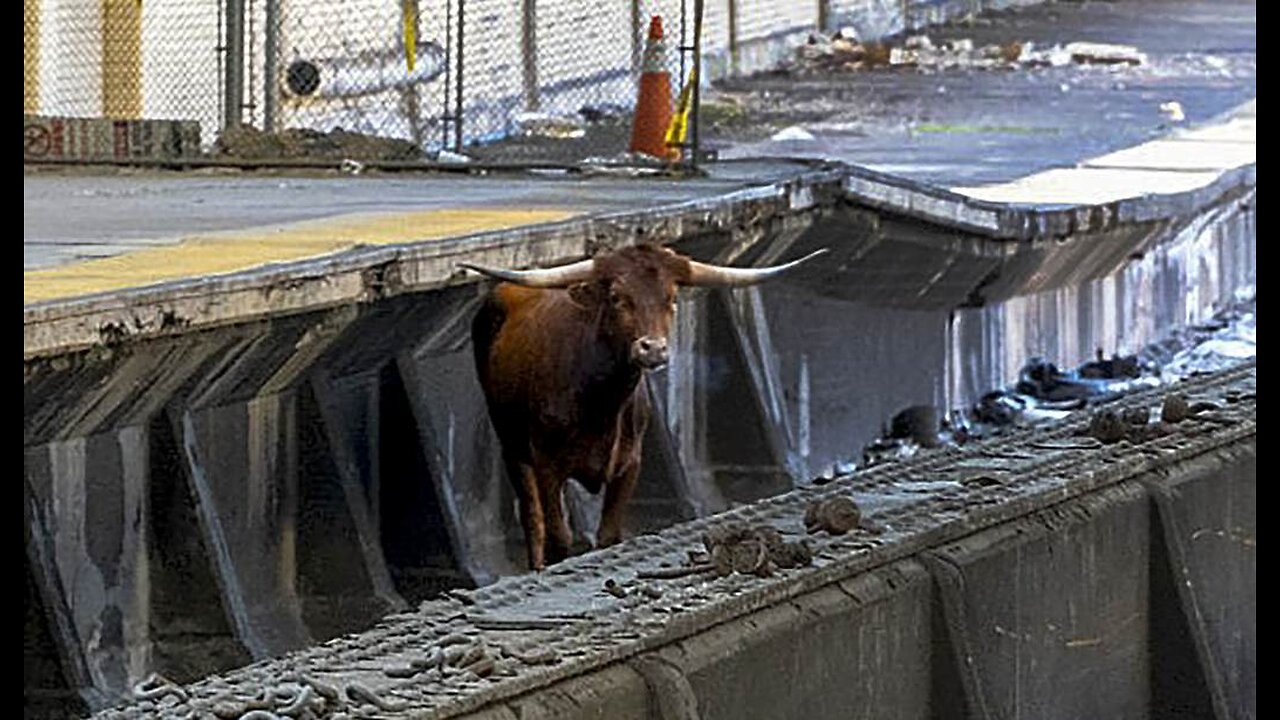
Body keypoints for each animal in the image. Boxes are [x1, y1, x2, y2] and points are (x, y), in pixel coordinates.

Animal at [465, 243, 824, 568]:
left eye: (672, 298)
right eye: (617, 297)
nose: (653, 349)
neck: (599, 404)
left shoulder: (629, 464)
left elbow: (608, 536)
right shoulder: (547, 464)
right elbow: (558, 538)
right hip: (512, 448)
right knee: (533, 520)